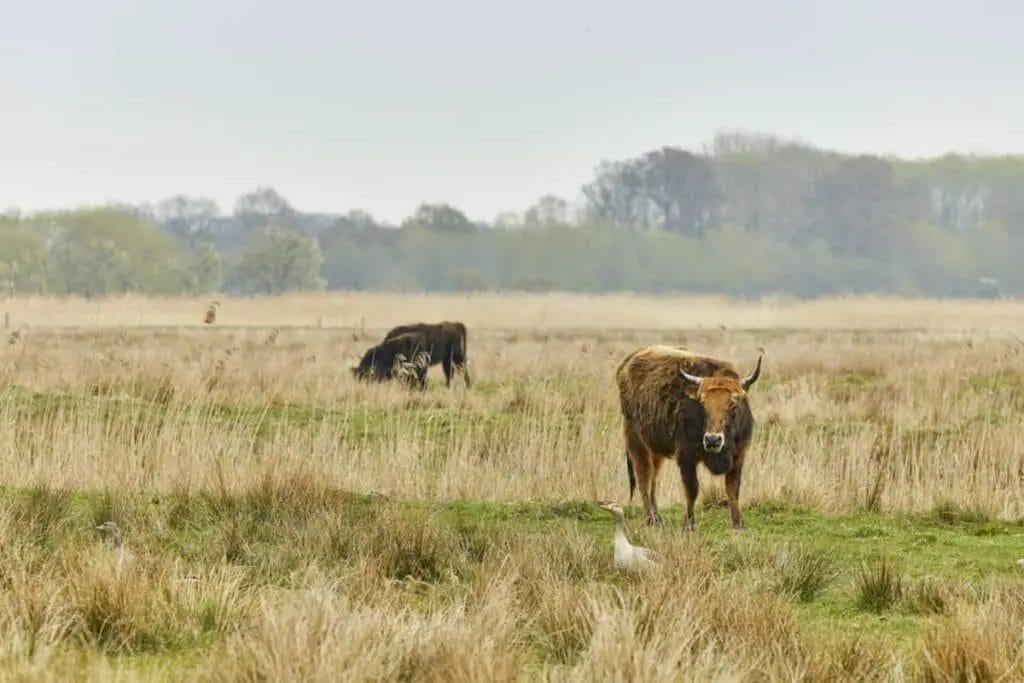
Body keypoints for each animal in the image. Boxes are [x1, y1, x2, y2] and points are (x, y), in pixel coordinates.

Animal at [614, 344, 761, 532]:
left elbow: (733, 488)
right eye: (703, 404)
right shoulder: (686, 456)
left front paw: (738, 523)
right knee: (644, 477)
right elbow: (692, 489)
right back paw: (650, 519)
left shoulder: (739, 454)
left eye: (733, 404)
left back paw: (658, 518)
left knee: (653, 479)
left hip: (656, 449)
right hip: (637, 441)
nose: (713, 440)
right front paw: (689, 524)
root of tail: (628, 363)